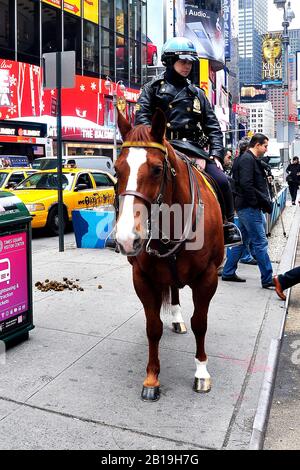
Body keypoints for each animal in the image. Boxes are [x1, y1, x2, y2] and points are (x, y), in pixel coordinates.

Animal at [115, 109, 223, 400]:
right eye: (116, 170)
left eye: (156, 169)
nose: (127, 239)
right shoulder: (142, 278)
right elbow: (153, 328)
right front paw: (152, 377)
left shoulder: (208, 278)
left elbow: (201, 323)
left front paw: (201, 372)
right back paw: (175, 317)